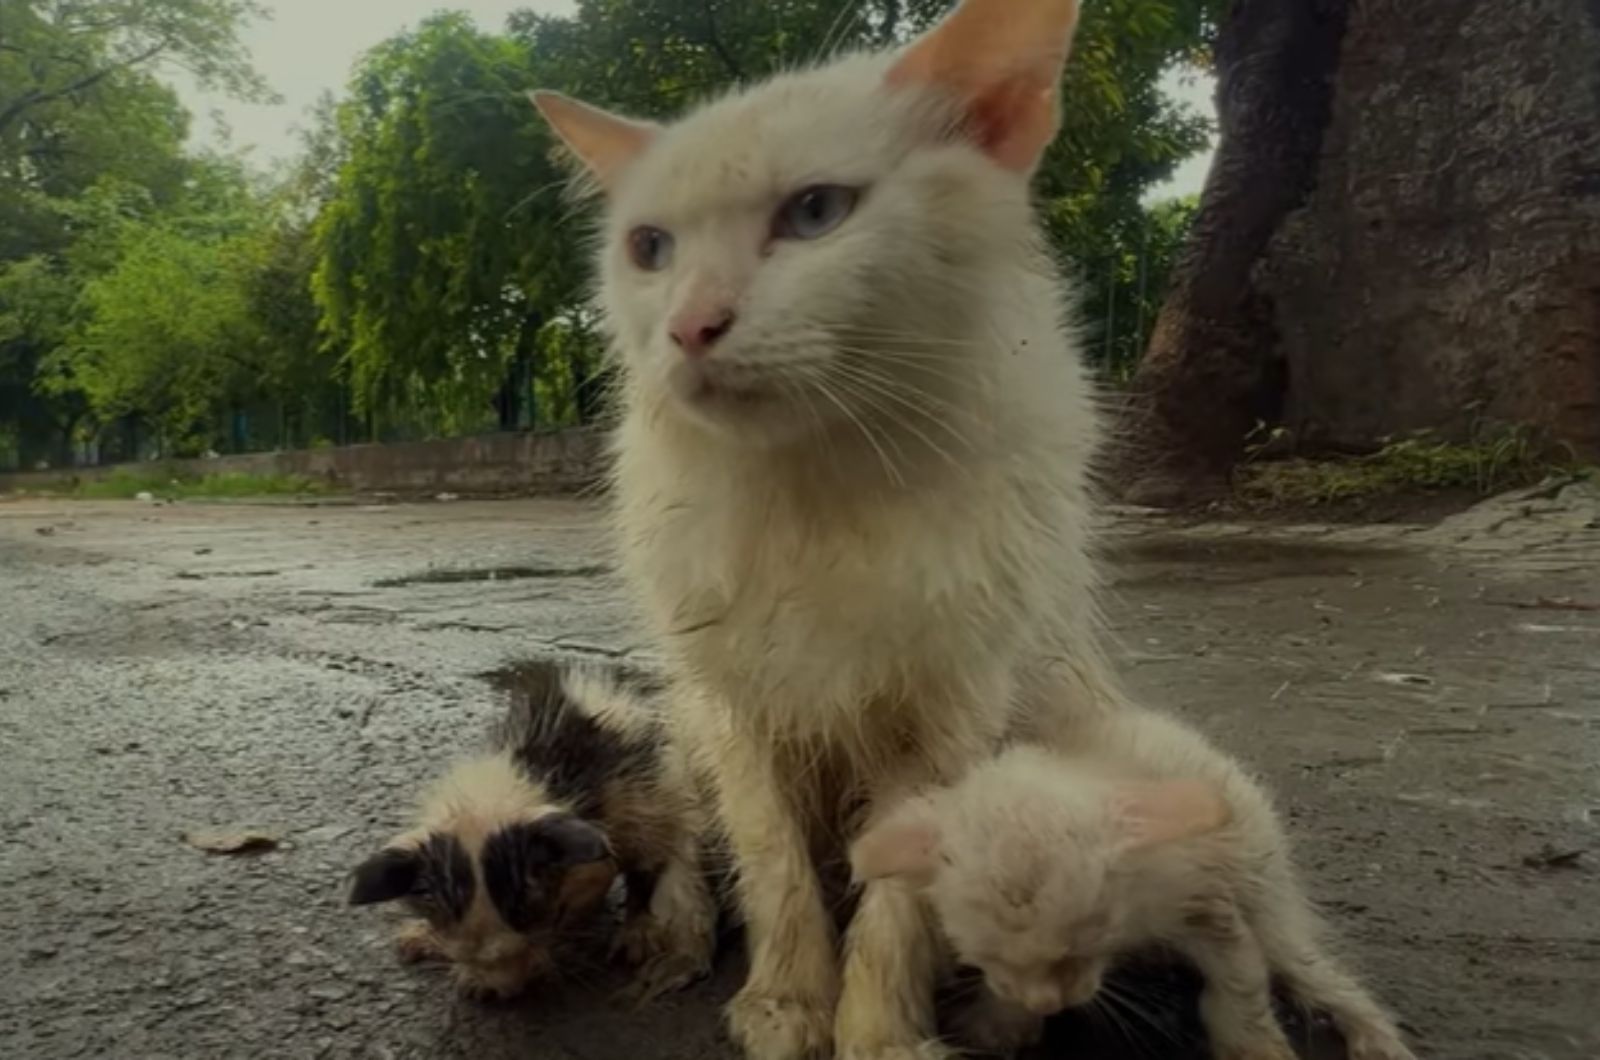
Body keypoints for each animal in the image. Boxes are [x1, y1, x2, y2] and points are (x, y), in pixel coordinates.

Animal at [348, 666, 713, 1005]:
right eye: (460, 948)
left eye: (534, 912)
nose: (506, 992)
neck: (489, 798)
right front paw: (430, 945)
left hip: (651, 792)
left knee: (649, 860)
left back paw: (636, 935)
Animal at [531, 2, 1120, 1060]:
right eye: (650, 248)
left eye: (814, 214)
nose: (689, 327)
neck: (822, 486)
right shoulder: (734, 704)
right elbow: (773, 866)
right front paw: (787, 1001)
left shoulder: (950, 711)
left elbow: (897, 896)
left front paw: (881, 1028)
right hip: (686, 721)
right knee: (683, 837)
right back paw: (671, 936)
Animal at [857, 714, 1420, 1060]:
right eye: (983, 958)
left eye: (1086, 943)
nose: (1049, 1004)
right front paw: (1000, 1025)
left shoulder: (1204, 897)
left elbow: (1237, 982)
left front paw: (1256, 1048)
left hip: (1270, 893)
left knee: (1313, 971)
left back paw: (1377, 1039)